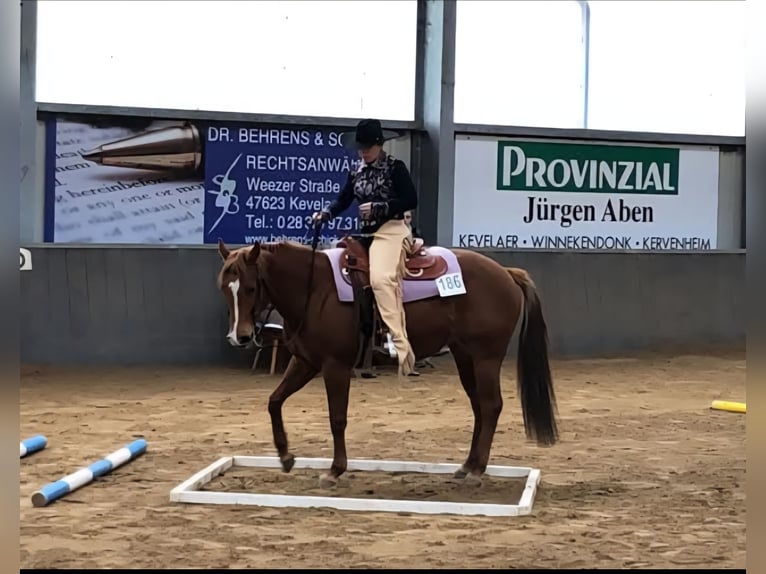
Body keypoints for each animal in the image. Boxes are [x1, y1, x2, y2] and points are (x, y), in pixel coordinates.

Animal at [216, 234, 558, 488]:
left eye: (250, 287)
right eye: (224, 288)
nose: (239, 337)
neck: (315, 289)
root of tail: (506, 273)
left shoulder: (335, 366)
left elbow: (337, 418)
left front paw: (335, 470)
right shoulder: (304, 362)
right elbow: (274, 401)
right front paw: (286, 457)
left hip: (486, 357)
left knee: (490, 406)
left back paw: (477, 470)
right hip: (465, 357)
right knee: (478, 407)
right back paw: (467, 466)